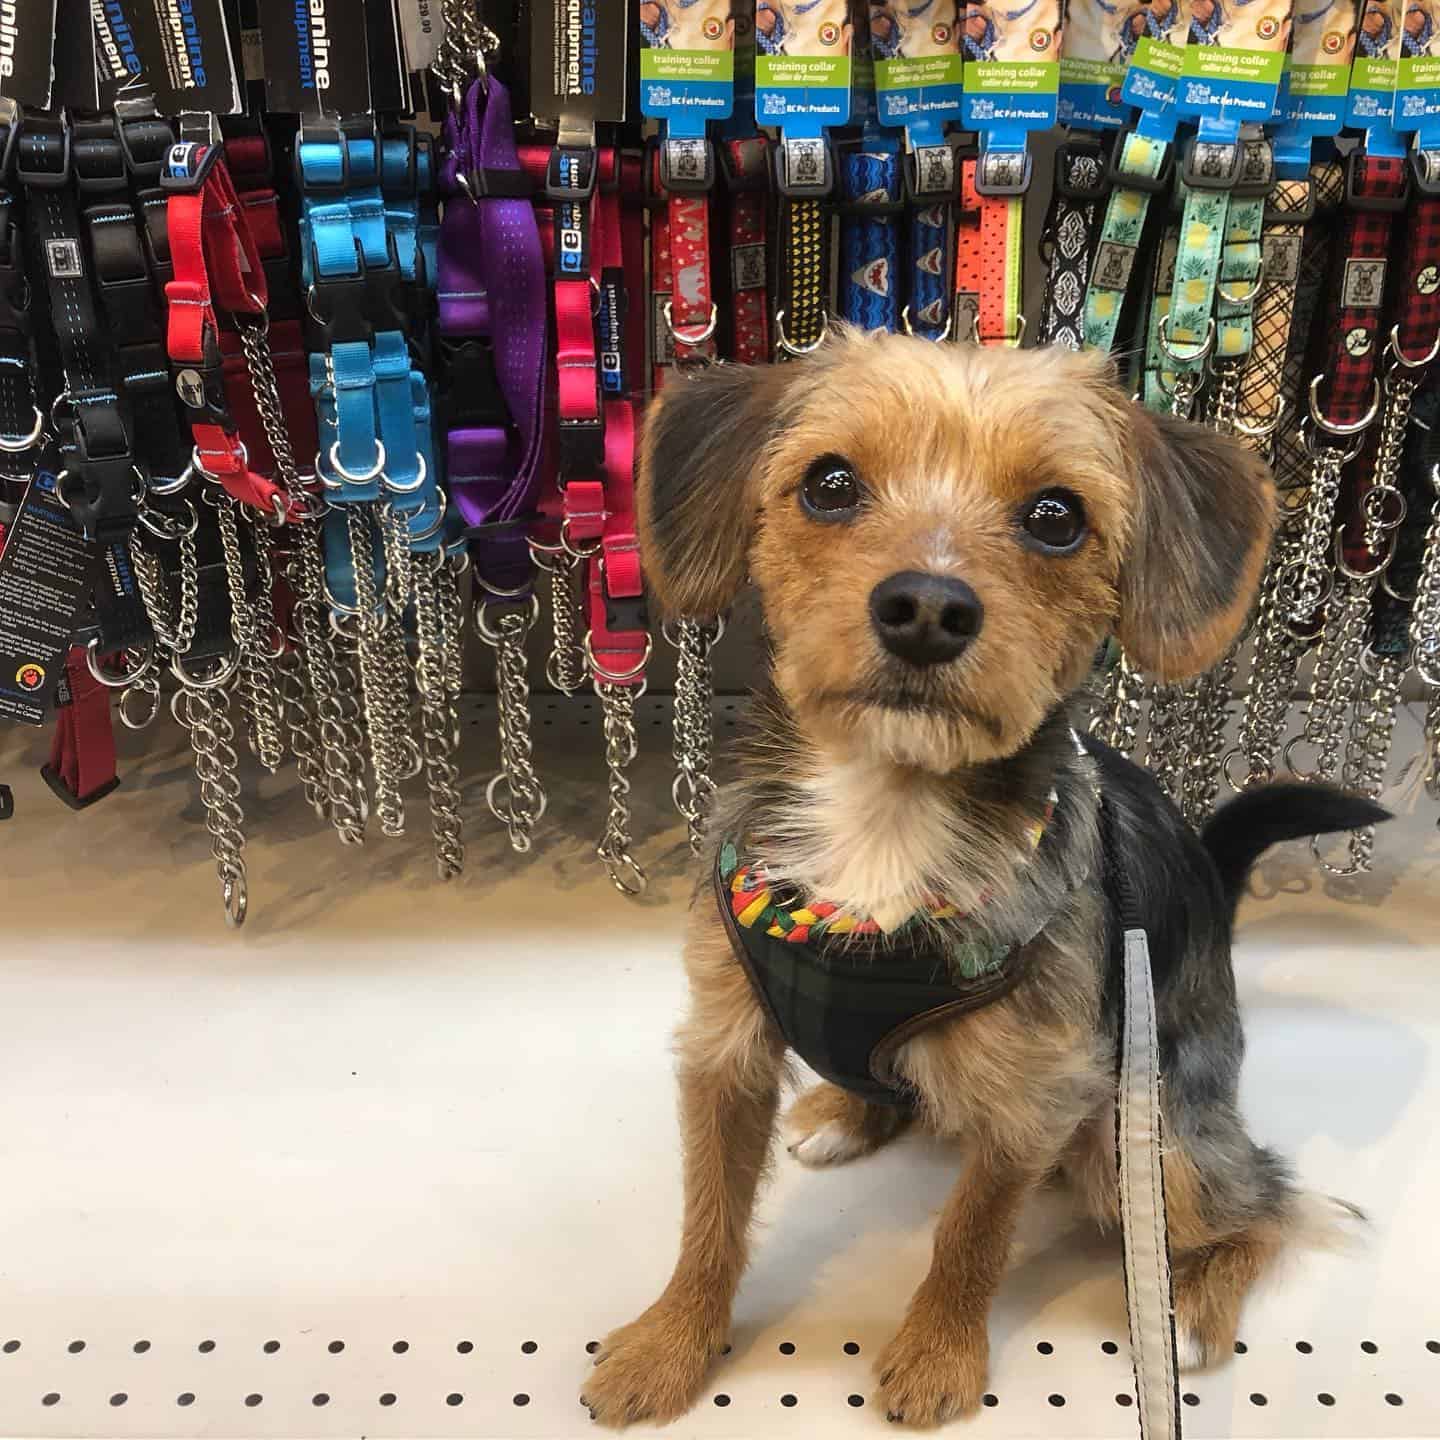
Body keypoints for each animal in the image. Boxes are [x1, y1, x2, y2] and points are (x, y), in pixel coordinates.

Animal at [584, 334, 1370, 1428]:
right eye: (830, 485)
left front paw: (937, 1357)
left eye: (1056, 516)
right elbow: (708, 1215)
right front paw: (671, 1342)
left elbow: (973, 1234)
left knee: (1262, 1199)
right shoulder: (724, 1047)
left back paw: (1197, 1306)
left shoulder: (1033, 1098)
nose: (926, 607)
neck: (887, 812)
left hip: (1155, 1141)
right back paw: (850, 1111)